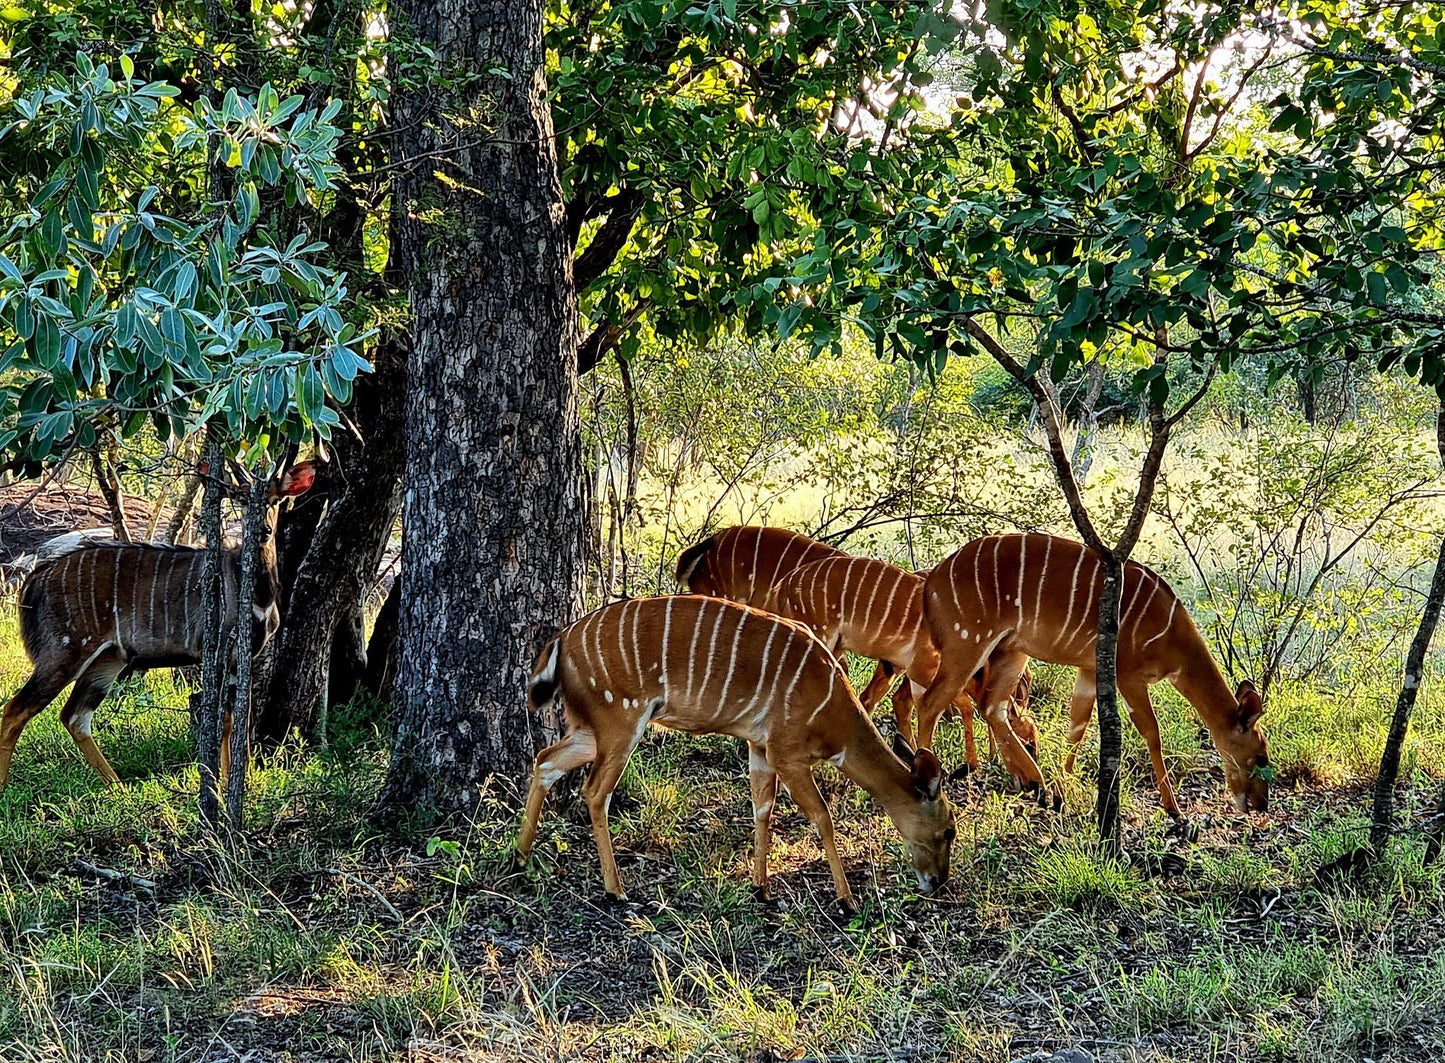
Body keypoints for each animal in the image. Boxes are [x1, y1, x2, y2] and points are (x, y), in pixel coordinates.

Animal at [0, 459, 319, 791]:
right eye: (241, 499)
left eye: (275, 500)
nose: (264, 530)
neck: (258, 594)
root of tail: (34, 579)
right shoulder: (218, 651)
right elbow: (226, 719)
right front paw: (222, 784)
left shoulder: (242, 657)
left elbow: (239, 718)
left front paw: (238, 780)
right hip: (64, 652)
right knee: (15, 710)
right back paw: (6, 787)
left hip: (108, 659)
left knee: (74, 716)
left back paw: (118, 787)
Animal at [514, 595, 953, 907]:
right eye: (949, 828)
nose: (939, 882)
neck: (833, 712)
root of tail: (561, 642)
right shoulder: (786, 750)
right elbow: (821, 816)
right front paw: (846, 900)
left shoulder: (758, 745)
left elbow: (762, 808)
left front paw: (762, 889)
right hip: (621, 720)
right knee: (594, 792)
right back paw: (615, 890)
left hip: (592, 728)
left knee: (545, 760)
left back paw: (520, 860)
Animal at [919, 534, 1271, 820]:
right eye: (1261, 757)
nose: (1260, 805)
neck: (1172, 636)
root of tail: (931, 583)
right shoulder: (1127, 673)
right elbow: (1151, 732)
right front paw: (1174, 809)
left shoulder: (1089, 668)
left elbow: (1077, 725)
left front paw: (1060, 795)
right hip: (967, 643)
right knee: (930, 704)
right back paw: (931, 789)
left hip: (1011, 650)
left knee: (992, 707)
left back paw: (1036, 782)